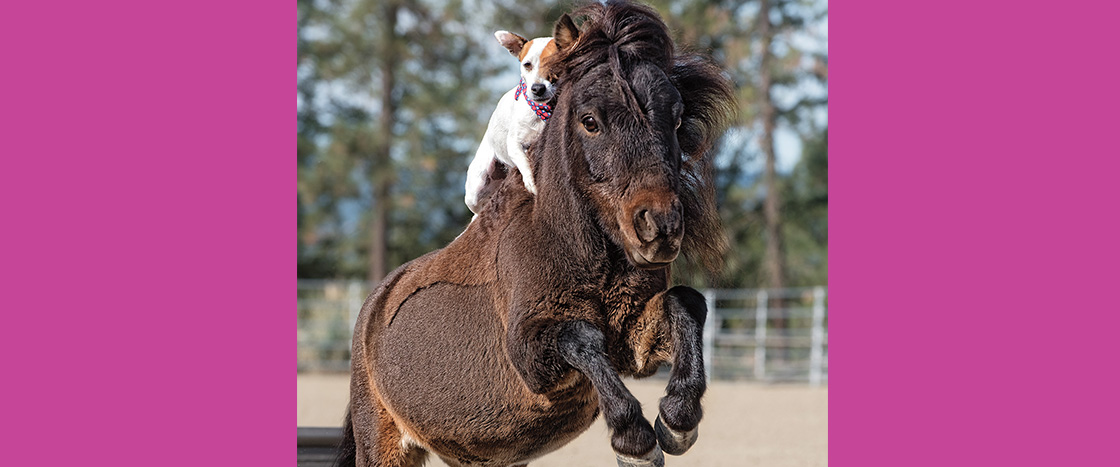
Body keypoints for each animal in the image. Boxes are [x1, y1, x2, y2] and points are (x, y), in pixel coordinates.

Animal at [468, 19, 582, 213]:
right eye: (527, 65)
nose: (537, 88)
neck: (544, 110)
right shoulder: (515, 143)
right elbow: (523, 160)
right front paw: (530, 181)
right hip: (476, 188)